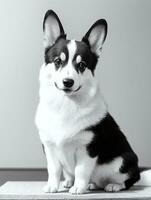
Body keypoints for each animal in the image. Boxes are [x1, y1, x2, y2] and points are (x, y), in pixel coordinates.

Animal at [34, 9, 150, 194]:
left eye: (81, 65)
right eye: (58, 61)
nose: (68, 82)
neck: (65, 104)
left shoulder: (87, 148)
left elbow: (81, 170)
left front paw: (78, 188)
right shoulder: (49, 146)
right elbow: (54, 169)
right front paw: (53, 186)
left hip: (122, 163)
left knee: (130, 179)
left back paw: (112, 185)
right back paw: (75, 182)